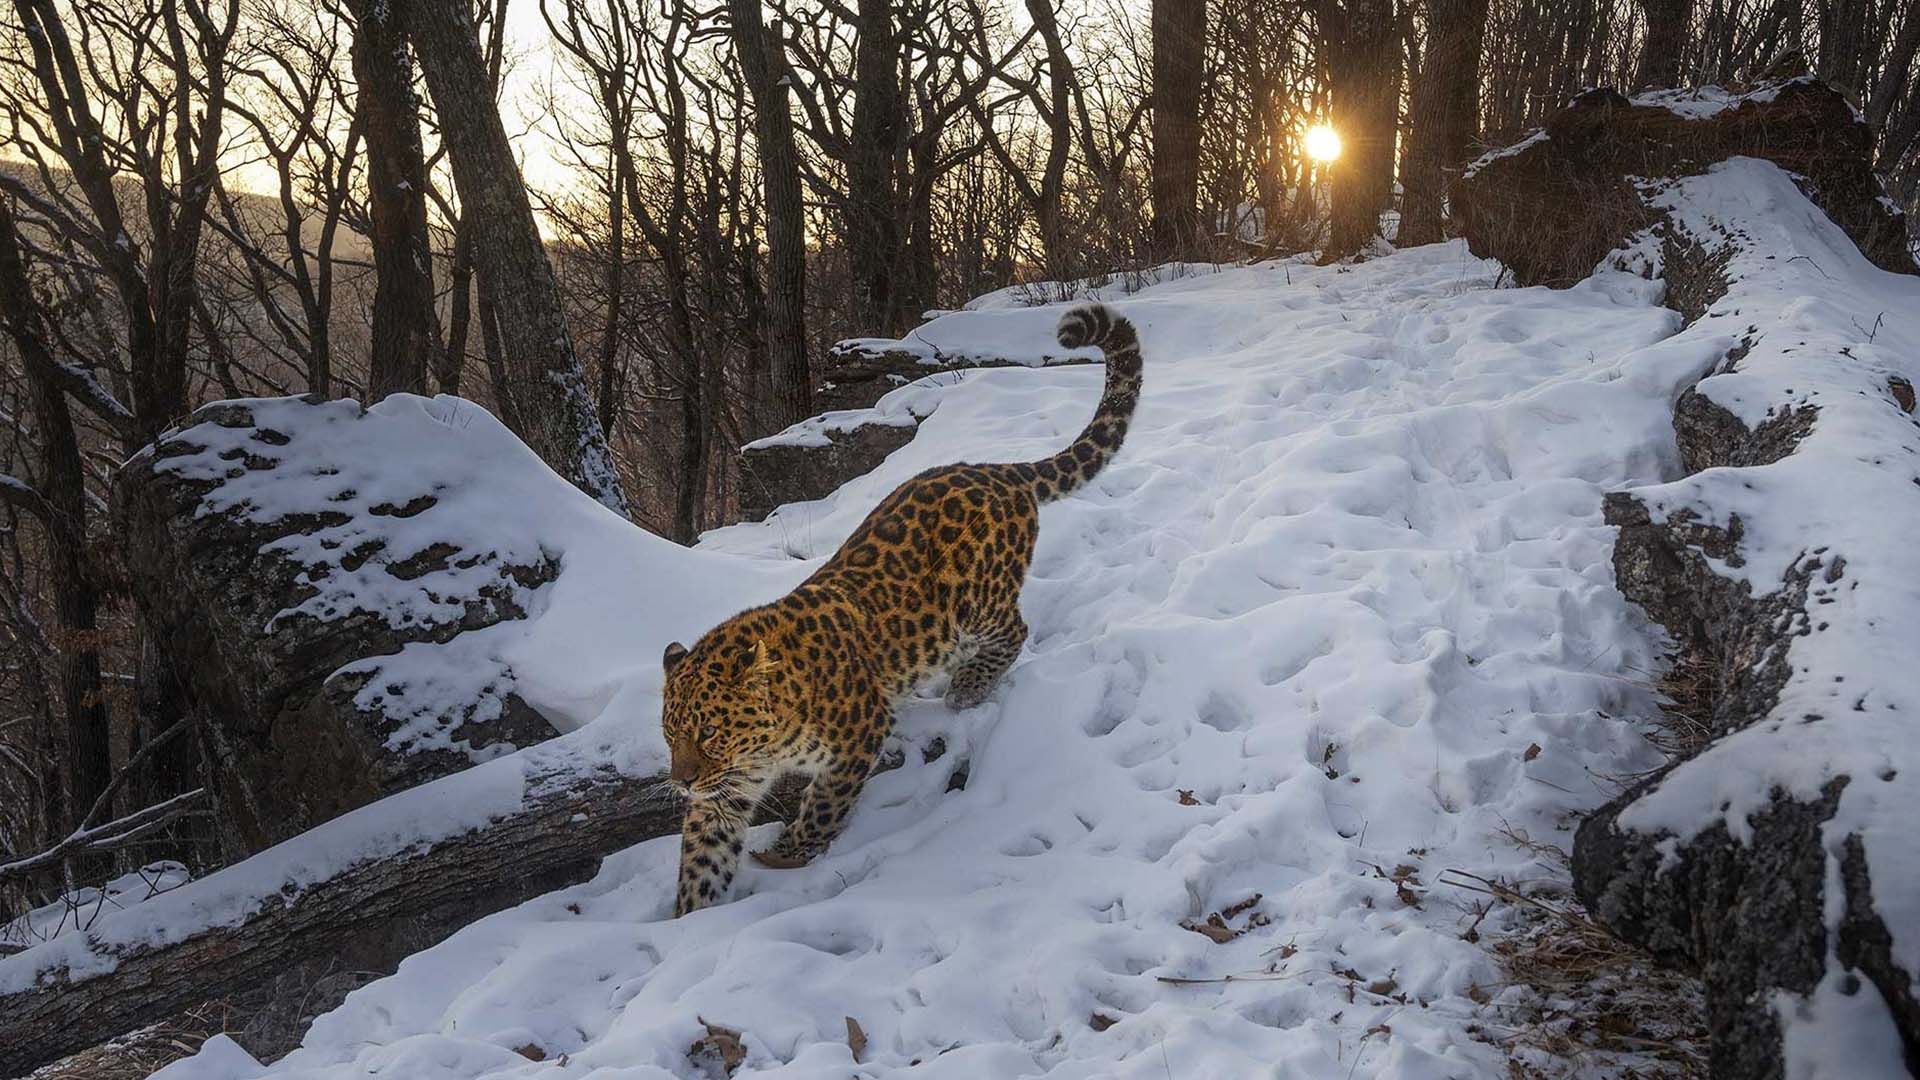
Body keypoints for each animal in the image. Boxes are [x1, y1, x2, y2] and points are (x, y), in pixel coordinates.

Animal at [660, 299, 1136, 907]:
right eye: (671, 734)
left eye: (710, 733)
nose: (683, 782)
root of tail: (995, 470)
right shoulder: (728, 785)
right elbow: (703, 857)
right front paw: (692, 913)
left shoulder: (857, 735)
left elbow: (823, 807)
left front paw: (787, 855)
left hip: (974, 600)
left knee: (1013, 630)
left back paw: (966, 689)